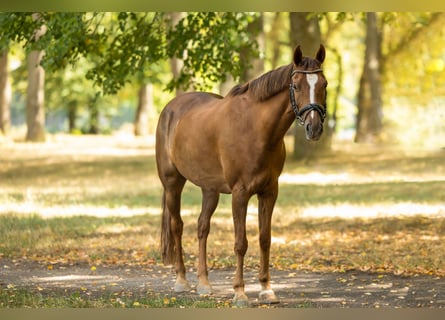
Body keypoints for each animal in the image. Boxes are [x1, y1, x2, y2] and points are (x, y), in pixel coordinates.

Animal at [155, 44, 326, 304]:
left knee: (202, 227)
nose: (313, 128)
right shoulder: (240, 193)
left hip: (210, 189)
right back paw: (182, 280)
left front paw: (266, 289)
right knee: (178, 226)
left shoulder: (269, 192)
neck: (257, 129)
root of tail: (170, 109)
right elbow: (240, 243)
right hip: (173, 184)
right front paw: (239, 292)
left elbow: (264, 239)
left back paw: (204, 283)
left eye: (324, 84)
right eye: (296, 86)